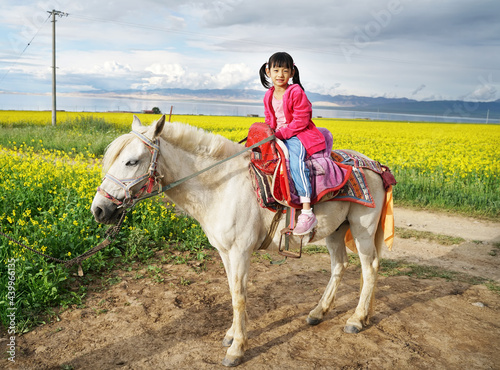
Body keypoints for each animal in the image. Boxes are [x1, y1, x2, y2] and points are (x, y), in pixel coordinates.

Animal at [91, 116, 386, 368]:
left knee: (369, 268)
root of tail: (376, 166)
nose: (99, 210)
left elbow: (239, 296)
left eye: (131, 161)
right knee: (340, 266)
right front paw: (232, 335)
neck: (221, 187)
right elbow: (233, 292)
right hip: (337, 230)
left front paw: (236, 349)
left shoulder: (240, 251)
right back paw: (319, 312)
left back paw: (357, 319)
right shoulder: (225, 252)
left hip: (361, 230)